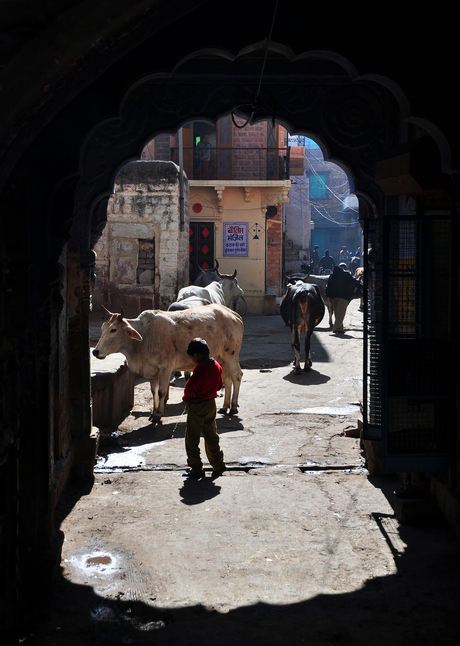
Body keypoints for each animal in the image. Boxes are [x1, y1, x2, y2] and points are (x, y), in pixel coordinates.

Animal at [93, 306, 244, 422]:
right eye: (102, 328)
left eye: (113, 329)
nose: (95, 351)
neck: (145, 336)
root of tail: (233, 314)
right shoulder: (151, 371)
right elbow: (153, 391)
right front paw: (153, 412)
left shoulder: (166, 368)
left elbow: (161, 391)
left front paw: (158, 415)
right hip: (221, 358)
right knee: (227, 379)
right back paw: (224, 407)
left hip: (231, 355)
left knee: (237, 376)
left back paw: (233, 407)